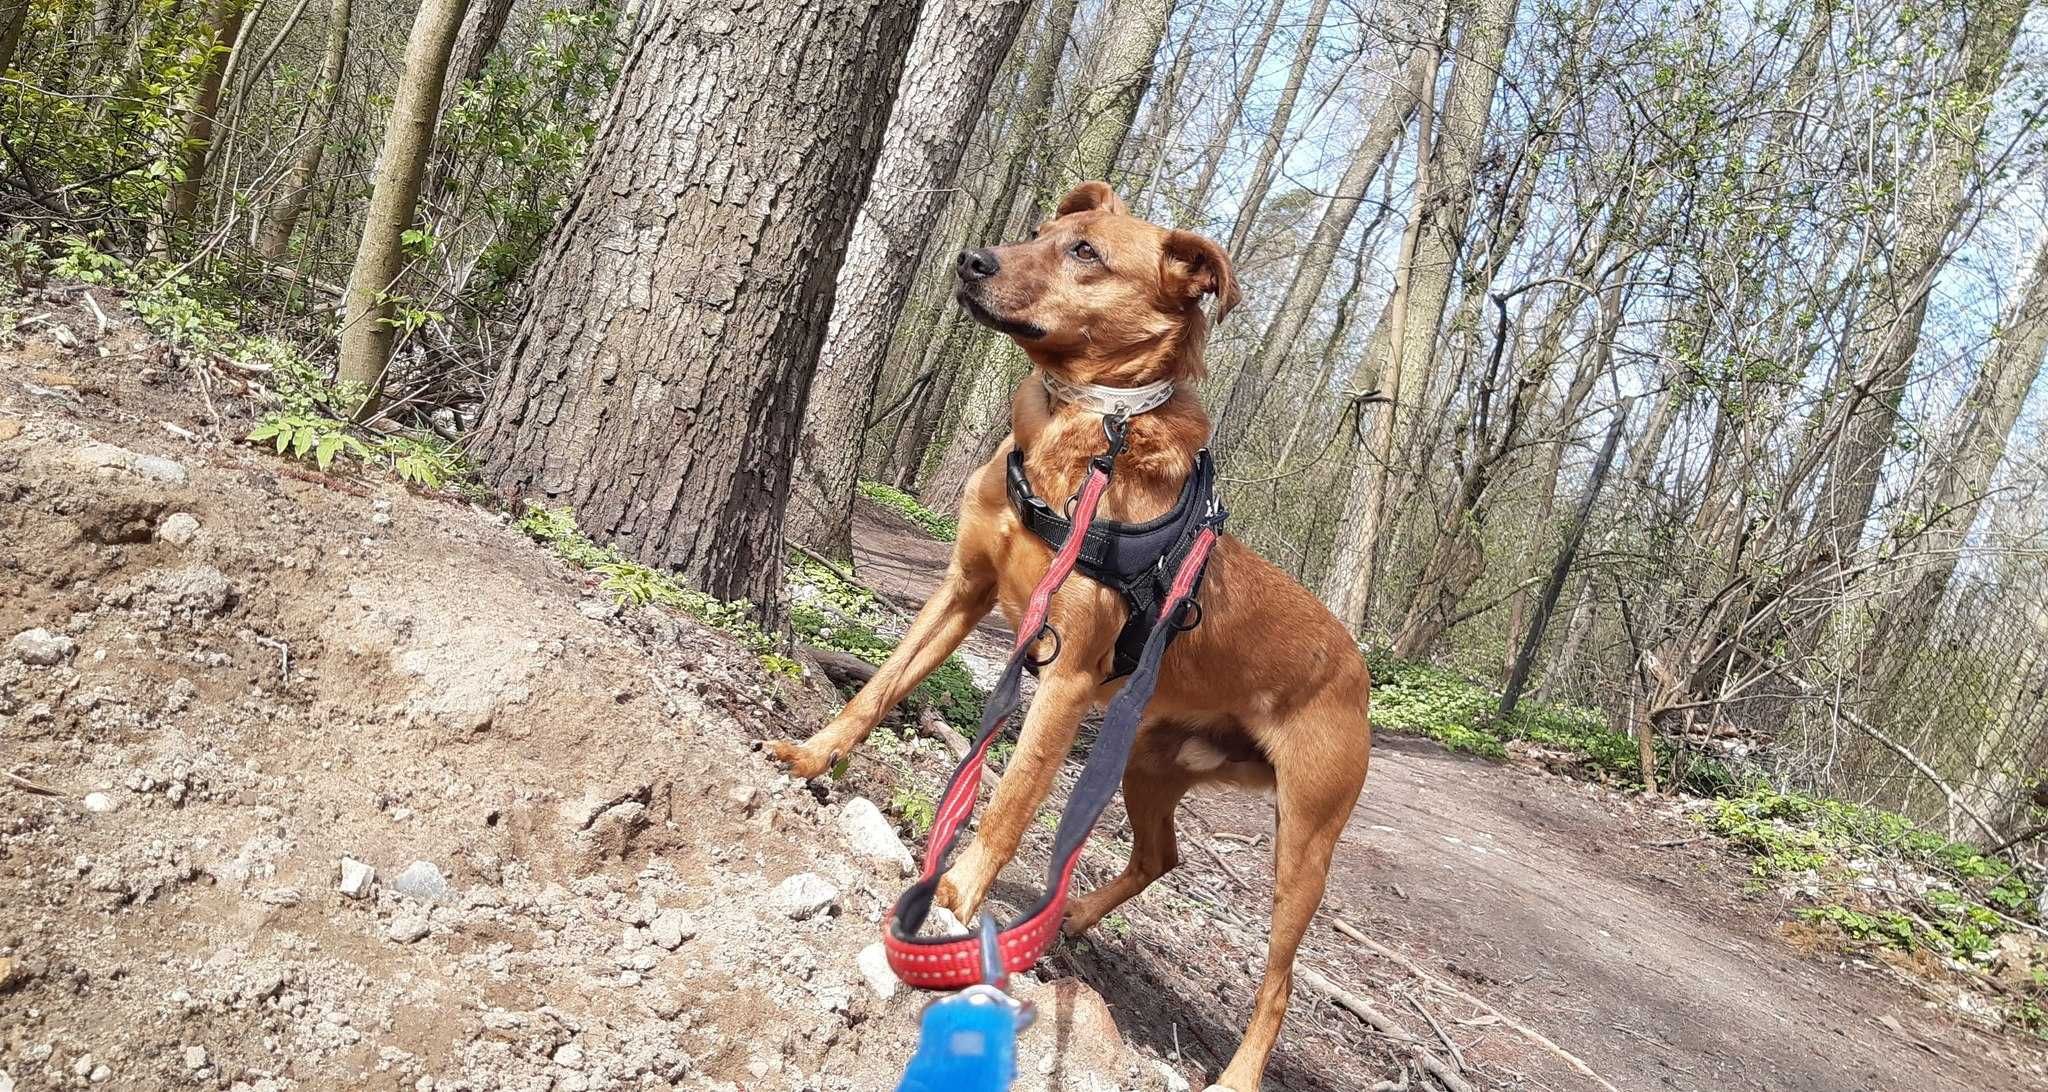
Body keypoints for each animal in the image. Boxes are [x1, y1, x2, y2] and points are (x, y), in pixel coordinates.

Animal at [770, 183, 1376, 1081]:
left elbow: (1011, 797)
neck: (1087, 435)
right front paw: (813, 754)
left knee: (1279, 983)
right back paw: (1075, 917)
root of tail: (1360, 668)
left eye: (1085, 251)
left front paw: (956, 898)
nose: (971, 260)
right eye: (1041, 231)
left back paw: (1236, 1073)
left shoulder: (1065, 675)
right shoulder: (963, 592)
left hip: (1303, 845)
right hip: (1149, 764)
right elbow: (879, 688)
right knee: (1161, 856)